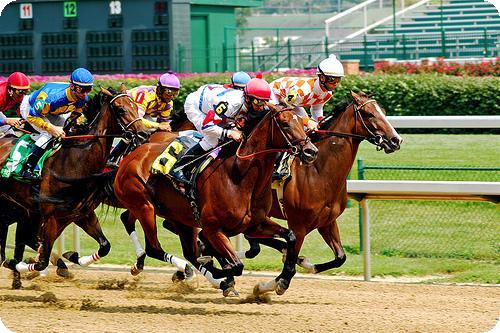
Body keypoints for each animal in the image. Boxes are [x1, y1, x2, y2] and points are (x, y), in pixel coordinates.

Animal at [0, 87, 146, 276]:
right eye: (121, 110)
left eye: (135, 106)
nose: (144, 133)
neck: (75, 161)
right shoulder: (51, 217)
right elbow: (41, 261)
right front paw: (15, 264)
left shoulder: (82, 214)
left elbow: (105, 246)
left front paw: (73, 256)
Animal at [113, 105, 316, 294]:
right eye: (285, 123)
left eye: (302, 122)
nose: (310, 151)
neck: (240, 176)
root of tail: (131, 156)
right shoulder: (213, 228)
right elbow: (236, 265)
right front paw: (220, 271)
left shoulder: (254, 224)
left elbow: (290, 236)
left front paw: (285, 277)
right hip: (144, 206)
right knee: (155, 247)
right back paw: (190, 270)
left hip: (179, 217)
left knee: (184, 250)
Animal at [237, 90, 402, 272]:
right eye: (369, 114)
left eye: (384, 112)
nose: (396, 140)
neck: (319, 171)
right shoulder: (298, 226)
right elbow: (290, 262)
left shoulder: (327, 222)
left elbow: (340, 257)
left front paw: (307, 264)